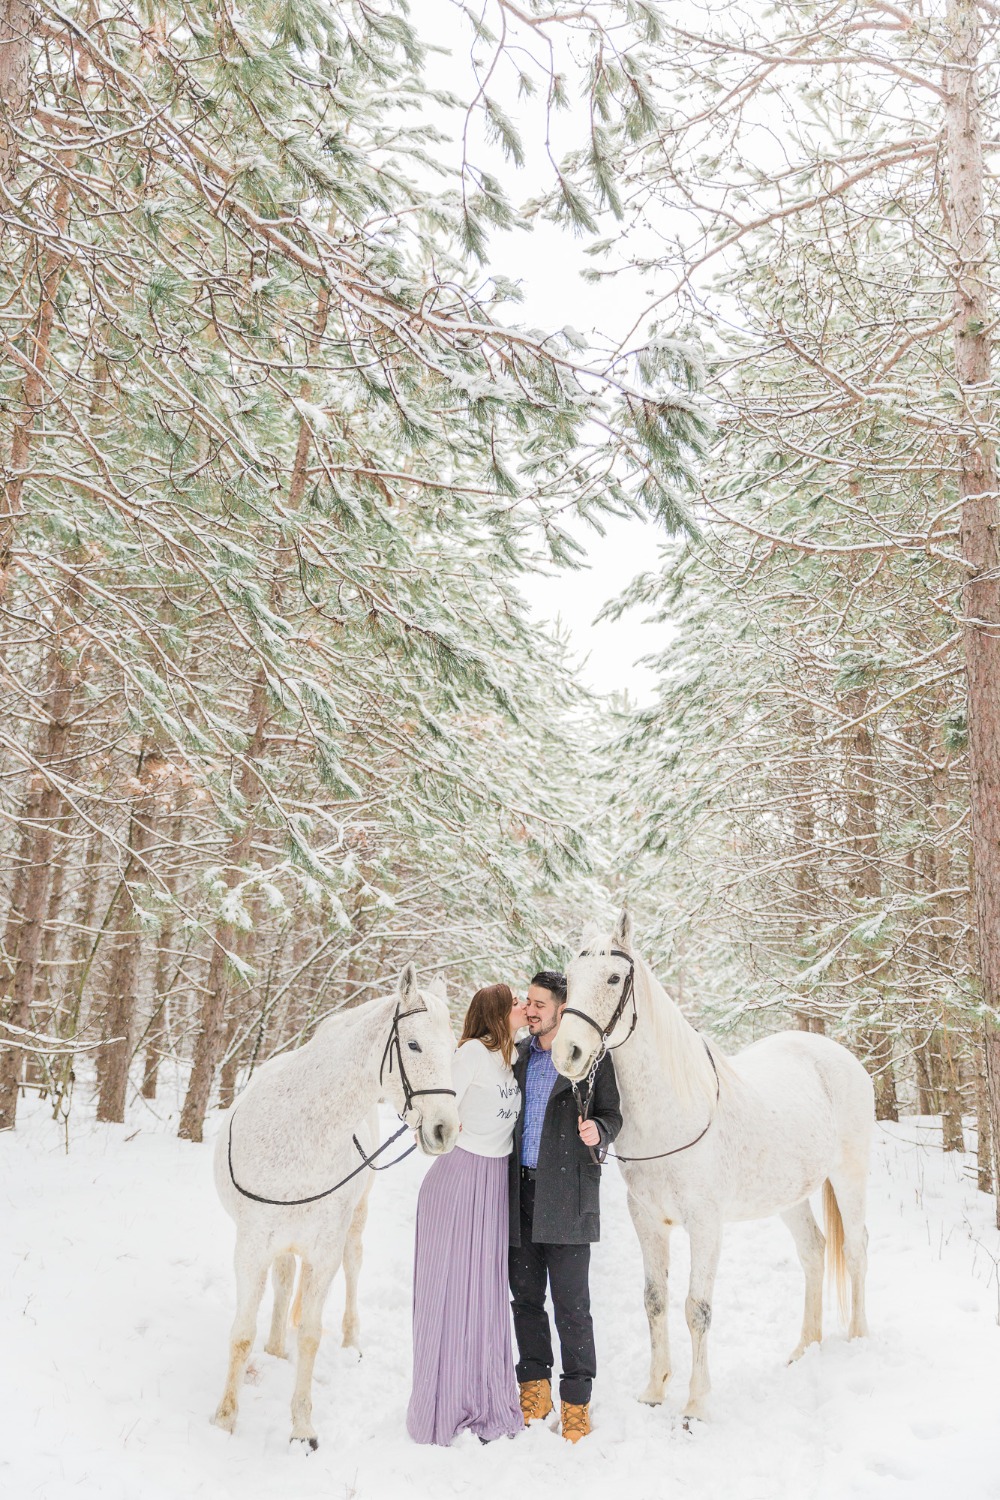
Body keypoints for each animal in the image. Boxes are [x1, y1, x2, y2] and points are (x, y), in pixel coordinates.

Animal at [214, 966, 461, 1446]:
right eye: (414, 1045)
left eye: (455, 1047)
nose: (445, 1129)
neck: (299, 1132)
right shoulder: (251, 1247)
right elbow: (240, 1334)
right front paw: (224, 1420)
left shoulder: (325, 1250)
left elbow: (311, 1335)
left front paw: (302, 1427)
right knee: (283, 1281)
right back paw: (274, 1349)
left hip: (353, 1224)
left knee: (353, 1266)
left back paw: (348, 1342)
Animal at [551, 912, 869, 1416]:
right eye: (570, 977)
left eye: (614, 978)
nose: (568, 1054)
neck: (673, 1109)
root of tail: (838, 1054)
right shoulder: (646, 1218)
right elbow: (655, 1300)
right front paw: (655, 1389)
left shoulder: (705, 1223)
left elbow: (696, 1307)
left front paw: (696, 1404)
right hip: (791, 1196)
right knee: (814, 1252)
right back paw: (805, 1348)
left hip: (850, 1177)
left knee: (855, 1250)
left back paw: (857, 1339)